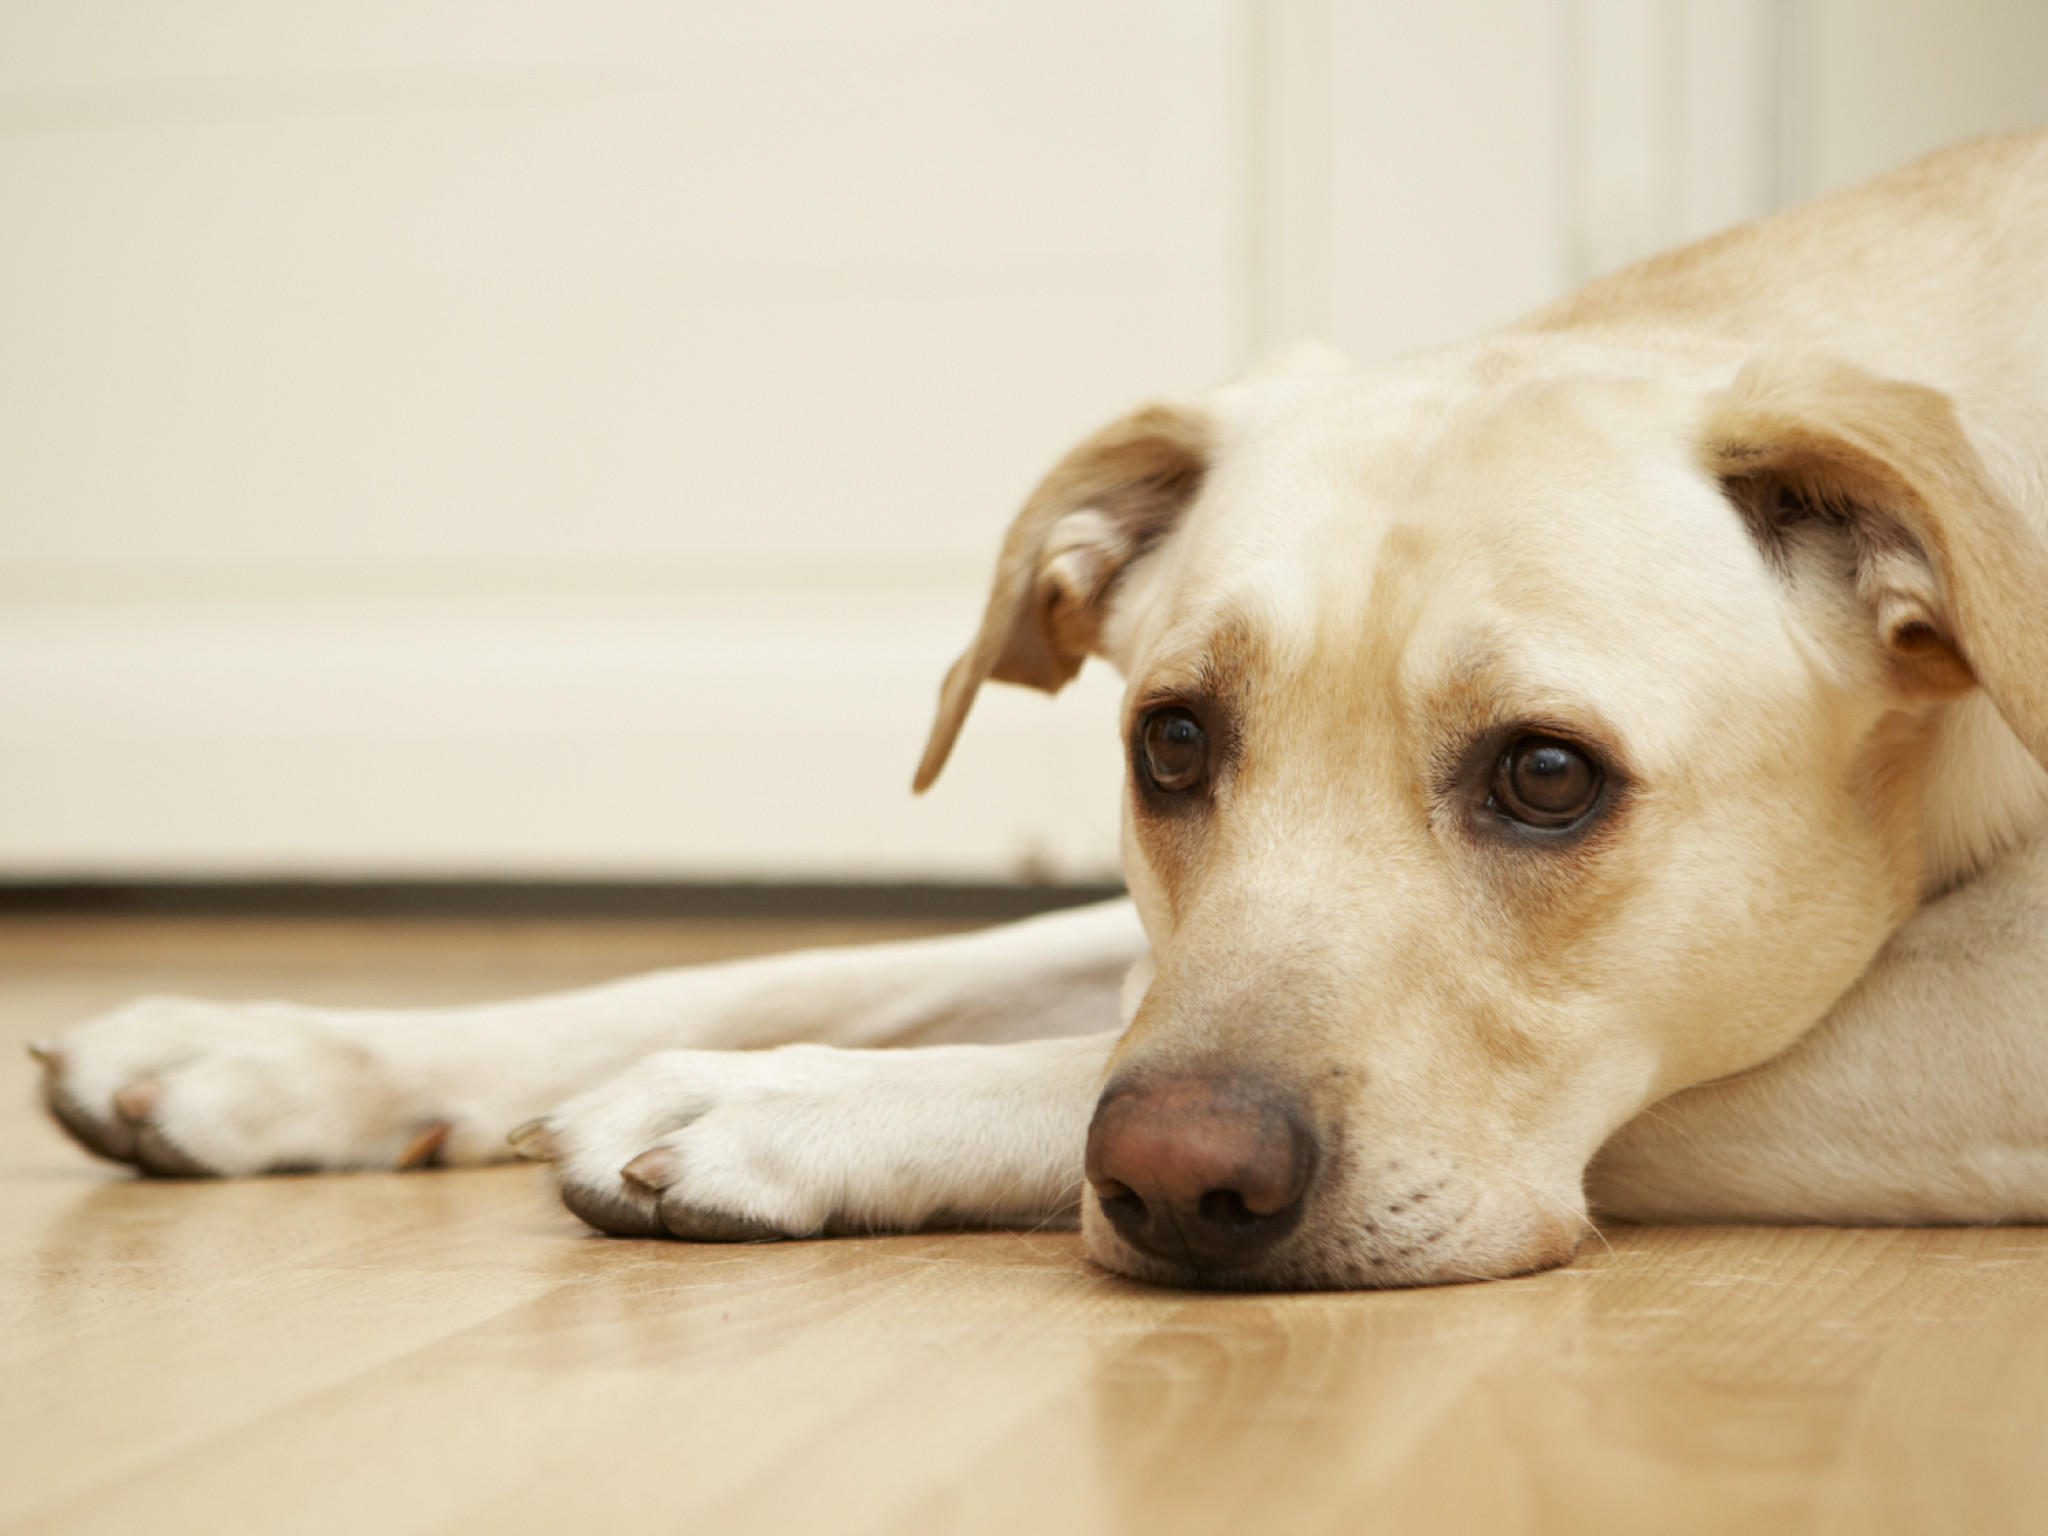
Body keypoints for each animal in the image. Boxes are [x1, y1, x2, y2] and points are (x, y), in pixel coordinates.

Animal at [32, 132, 2048, 1294]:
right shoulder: (1145, 929)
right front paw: (273, 1050)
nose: (1175, 1182)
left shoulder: (1970, 1021)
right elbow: (818, 967)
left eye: (1549, 777)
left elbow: (1057, 1055)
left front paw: (769, 1108)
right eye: (1171, 743)